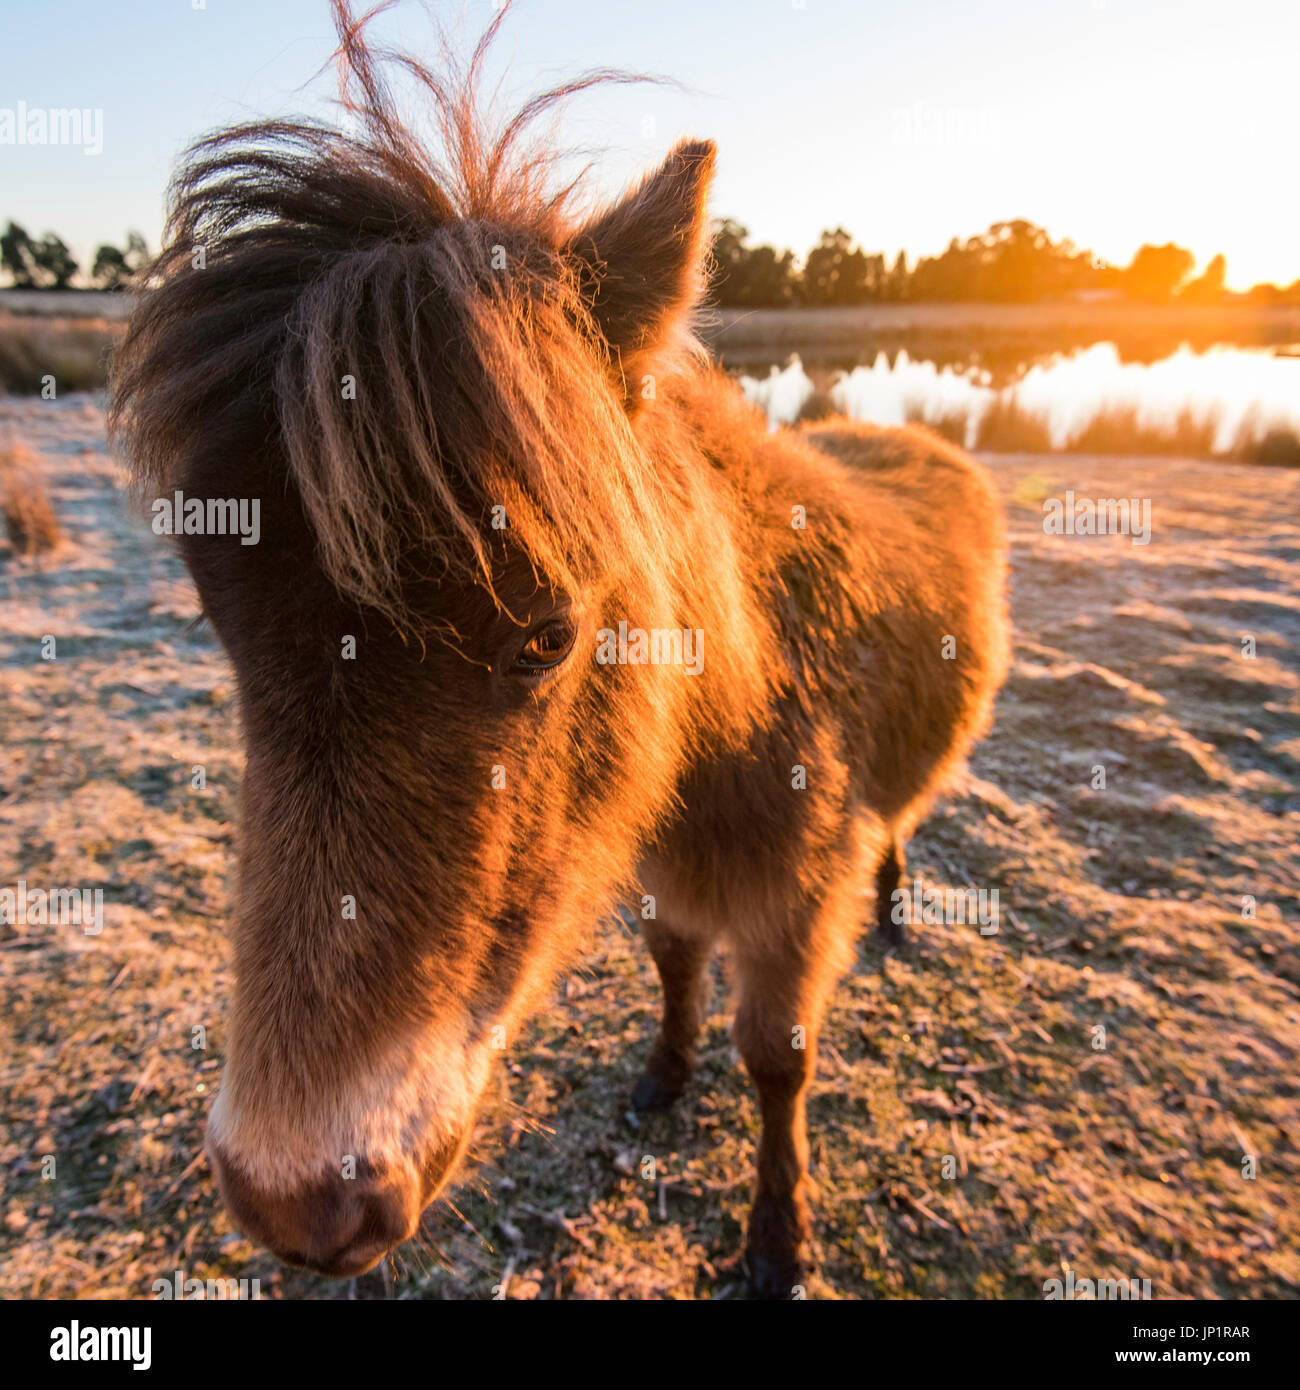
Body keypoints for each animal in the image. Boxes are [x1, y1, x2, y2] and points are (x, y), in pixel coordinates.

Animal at [109, 2, 1006, 1301]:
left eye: (548, 635)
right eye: (220, 629)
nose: (295, 1199)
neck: (737, 721)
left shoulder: (792, 902)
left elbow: (776, 1059)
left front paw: (776, 1238)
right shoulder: (657, 865)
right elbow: (674, 960)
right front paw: (660, 1078)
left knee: (897, 824)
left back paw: (893, 908)